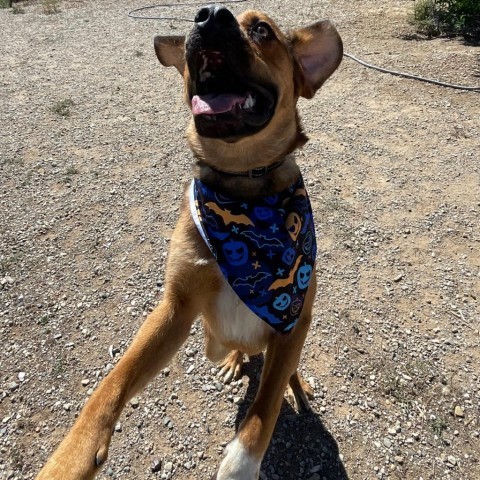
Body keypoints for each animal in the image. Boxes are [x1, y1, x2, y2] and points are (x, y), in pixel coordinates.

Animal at [37, 4, 344, 480]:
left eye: (262, 30)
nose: (209, 14)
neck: (243, 189)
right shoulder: (176, 308)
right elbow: (113, 380)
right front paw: (70, 457)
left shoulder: (293, 317)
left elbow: (265, 405)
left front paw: (240, 463)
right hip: (211, 340)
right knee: (234, 349)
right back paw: (236, 361)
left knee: (283, 372)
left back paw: (297, 387)